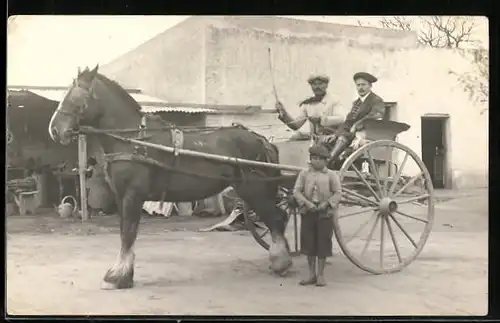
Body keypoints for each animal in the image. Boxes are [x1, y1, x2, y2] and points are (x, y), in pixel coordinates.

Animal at [47, 64, 292, 290]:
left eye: (75, 96)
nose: (54, 130)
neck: (135, 140)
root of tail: (261, 140)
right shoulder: (121, 196)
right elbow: (125, 231)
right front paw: (122, 274)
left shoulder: (132, 195)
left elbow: (128, 233)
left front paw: (119, 277)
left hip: (254, 189)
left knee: (276, 219)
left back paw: (281, 262)